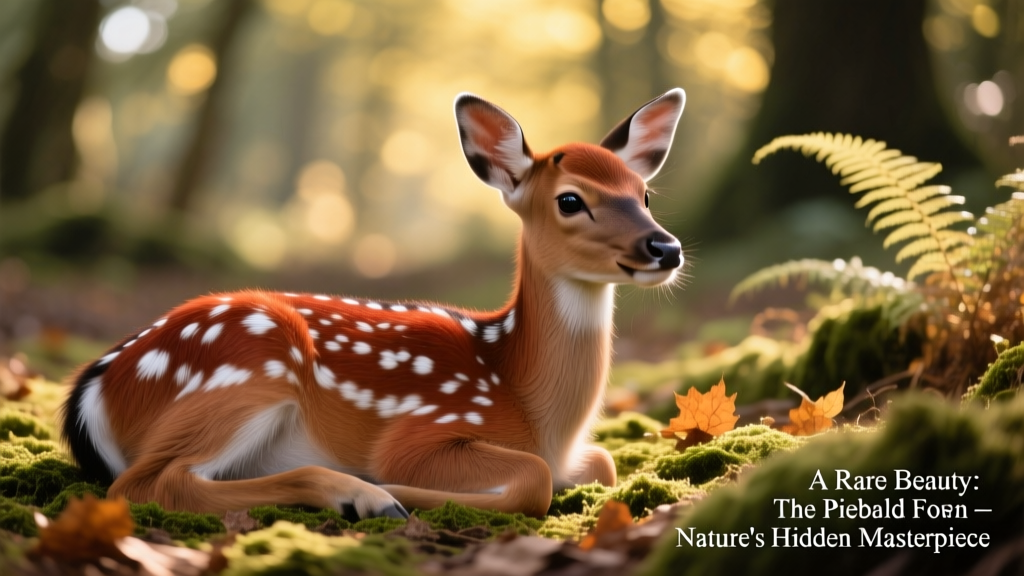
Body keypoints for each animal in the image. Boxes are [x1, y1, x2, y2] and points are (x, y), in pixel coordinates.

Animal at [60, 88, 686, 519]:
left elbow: (605, 462)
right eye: (570, 200)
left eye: (644, 194)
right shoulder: (423, 430)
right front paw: (397, 488)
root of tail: (91, 389)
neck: (534, 408)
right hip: (250, 367)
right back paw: (364, 495)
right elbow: (533, 477)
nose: (666, 247)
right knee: (150, 484)